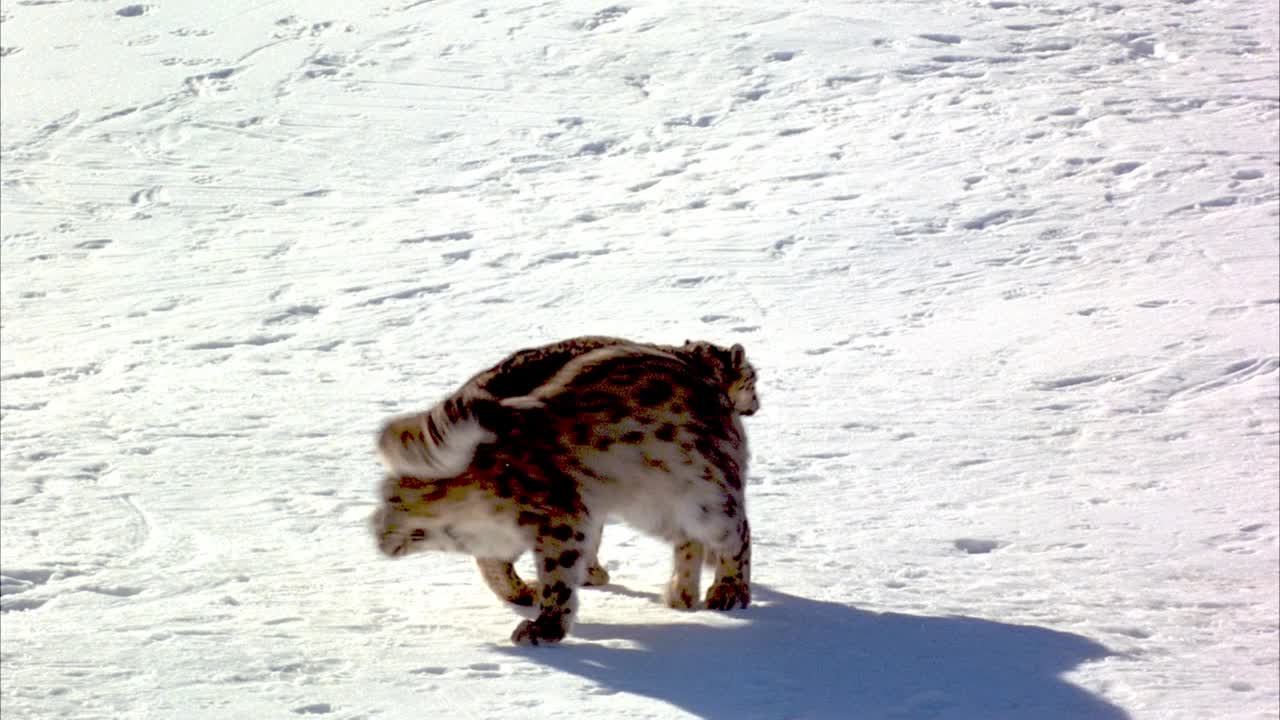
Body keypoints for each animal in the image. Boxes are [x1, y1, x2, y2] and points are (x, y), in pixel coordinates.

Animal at [371, 340, 752, 645]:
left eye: (390, 501)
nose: (376, 536)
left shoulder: (562, 521)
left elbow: (558, 576)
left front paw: (544, 627)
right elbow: (496, 567)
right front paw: (529, 596)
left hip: (704, 499)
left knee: (737, 531)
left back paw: (729, 591)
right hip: (654, 508)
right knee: (690, 539)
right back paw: (681, 593)